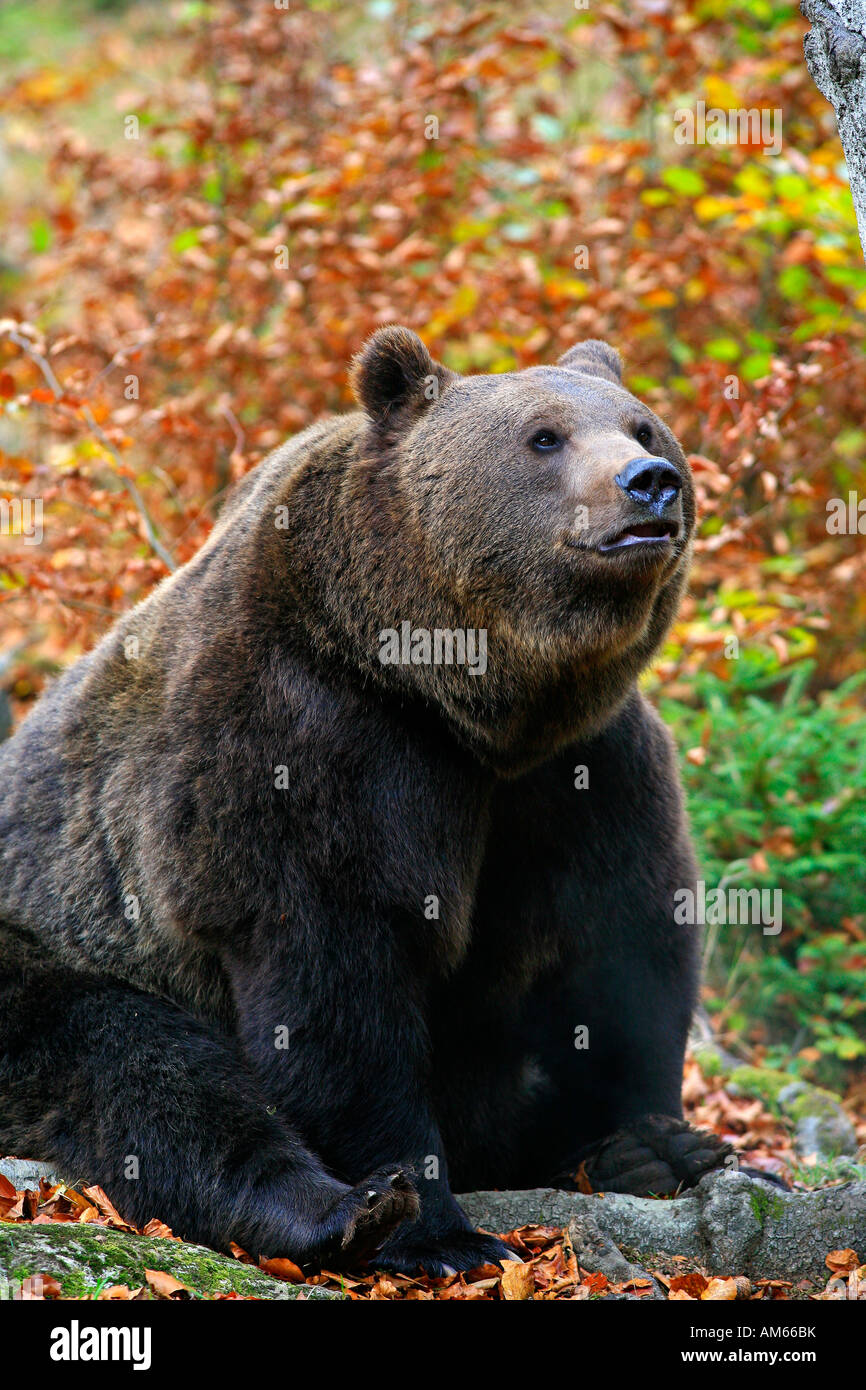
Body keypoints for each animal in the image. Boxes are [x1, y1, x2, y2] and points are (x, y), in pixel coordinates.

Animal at [0, 327, 731, 1276]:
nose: (652, 481)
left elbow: (624, 943)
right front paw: (437, 1227)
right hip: (48, 953)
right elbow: (334, 977)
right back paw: (339, 1211)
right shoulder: (309, 738)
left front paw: (649, 1139)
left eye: (642, 425)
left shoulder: (583, 768)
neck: (465, 700)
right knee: (137, 1065)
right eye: (544, 437)